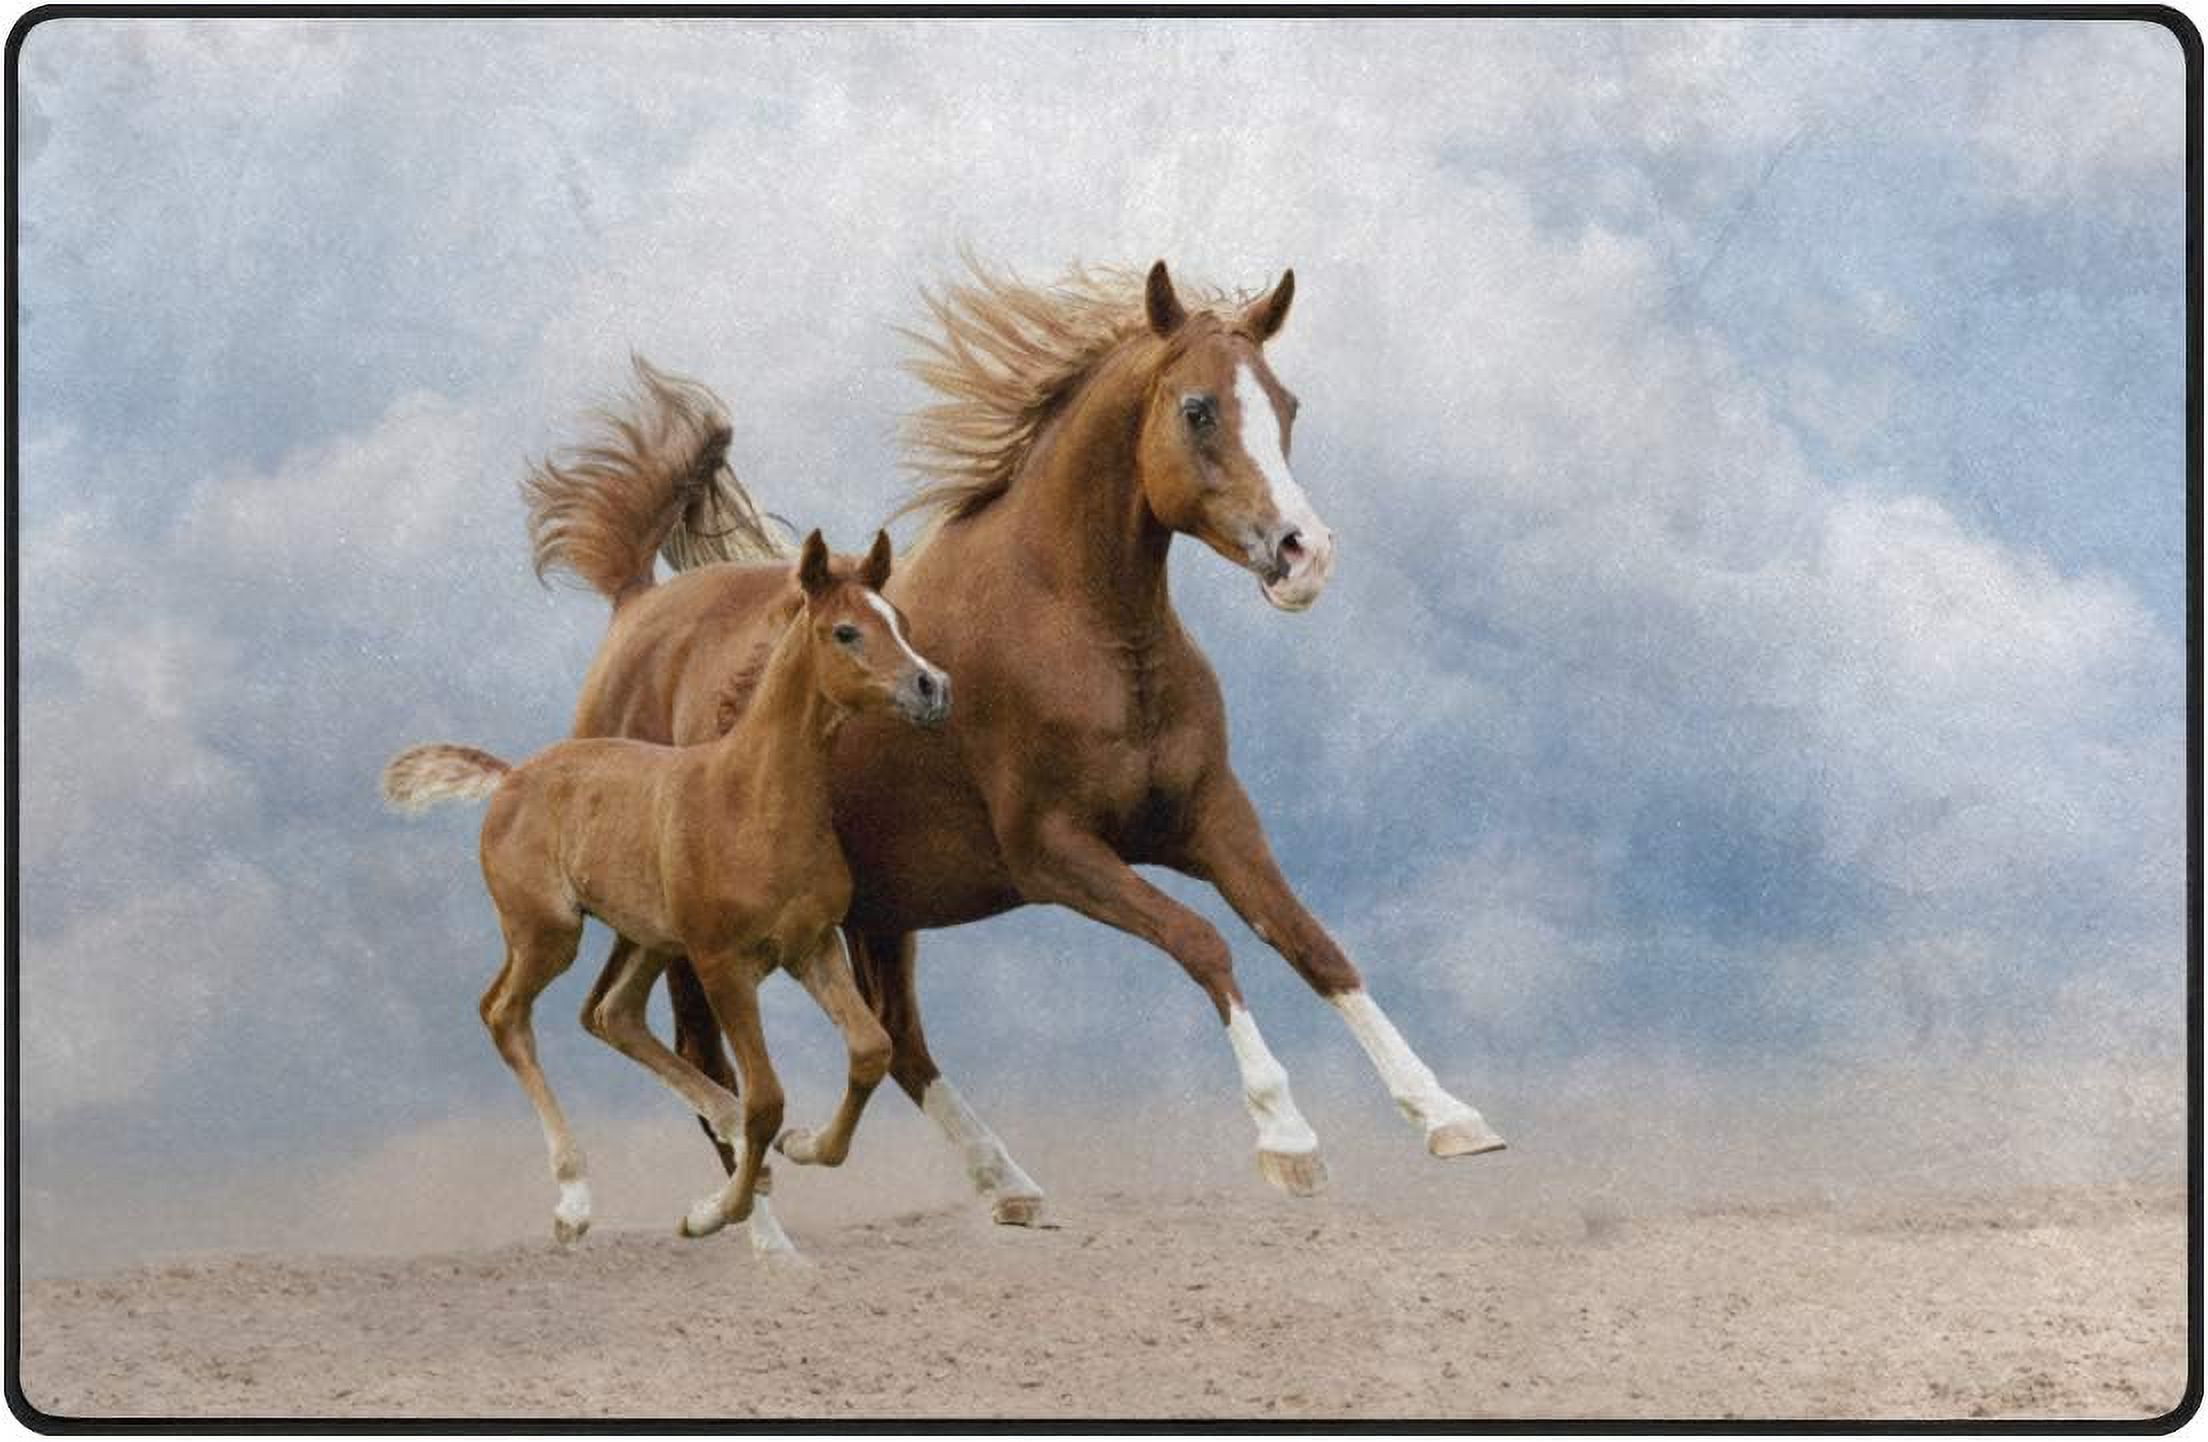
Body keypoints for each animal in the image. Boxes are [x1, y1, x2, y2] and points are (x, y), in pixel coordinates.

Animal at [382, 530, 950, 1244]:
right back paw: (574, 1200)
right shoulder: (722, 963)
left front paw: (801, 1146)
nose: (932, 687)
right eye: (845, 631)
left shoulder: (811, 948)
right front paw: (717, 1211)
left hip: (647, 938)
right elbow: (768, 1097)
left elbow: (870, 1050)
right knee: (505, 1013)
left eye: (900, 622)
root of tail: (510, 778)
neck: (753, 799)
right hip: (550, 933)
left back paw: (722, 1130)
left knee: (611, 1013)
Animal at [527, 261, 1506, 1248]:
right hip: (698, 927)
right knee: (702, 1052)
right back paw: (756, 1230)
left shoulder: (1211, 819)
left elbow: (1312, 944)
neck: (1084, 631)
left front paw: (1449, 1117)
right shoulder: (1053, 852)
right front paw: (1288, 1138)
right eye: (1197, 409)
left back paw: (1005, 1183)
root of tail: (635, 607)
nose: (1306, 555)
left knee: (897, 1042)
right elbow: (1203, 942)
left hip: (881, 909)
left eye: (1286, 404)